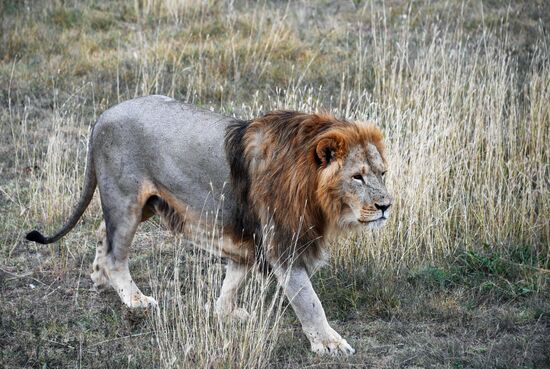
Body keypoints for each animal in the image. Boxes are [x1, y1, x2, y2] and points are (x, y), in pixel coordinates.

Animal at [28, 94, 394, 354]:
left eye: (382, 173)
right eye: (357, 177)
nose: (386, 206)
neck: (314, 192)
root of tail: (102, 117)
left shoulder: (249, 234)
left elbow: (234, 279)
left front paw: (225, 312)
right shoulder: (283, 245)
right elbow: (309, 301)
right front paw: (330, 343)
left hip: (145, 204)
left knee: (103, 233)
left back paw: (99, 277)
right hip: (126, 199)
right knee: (116, 254)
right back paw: (134, 299)